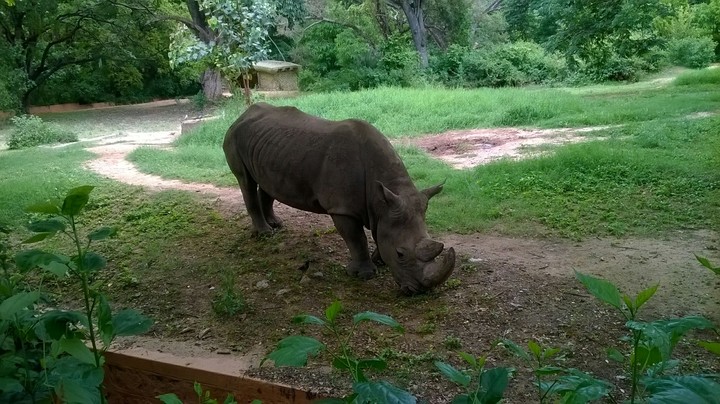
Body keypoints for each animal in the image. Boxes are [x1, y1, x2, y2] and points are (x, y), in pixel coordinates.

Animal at [222, 103, 455, 294]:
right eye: (400, 254)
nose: (419, 291)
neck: (381, 199)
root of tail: (242, 114)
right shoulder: (342, 208)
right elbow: (356, 238)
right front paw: (364, 274)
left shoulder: (386, 207)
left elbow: (379, 234)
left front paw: (379, 261)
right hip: (233, 137)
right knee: (245, 180)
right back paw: (265, 234)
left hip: (270, 145)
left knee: (265, 180)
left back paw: (276, 225)